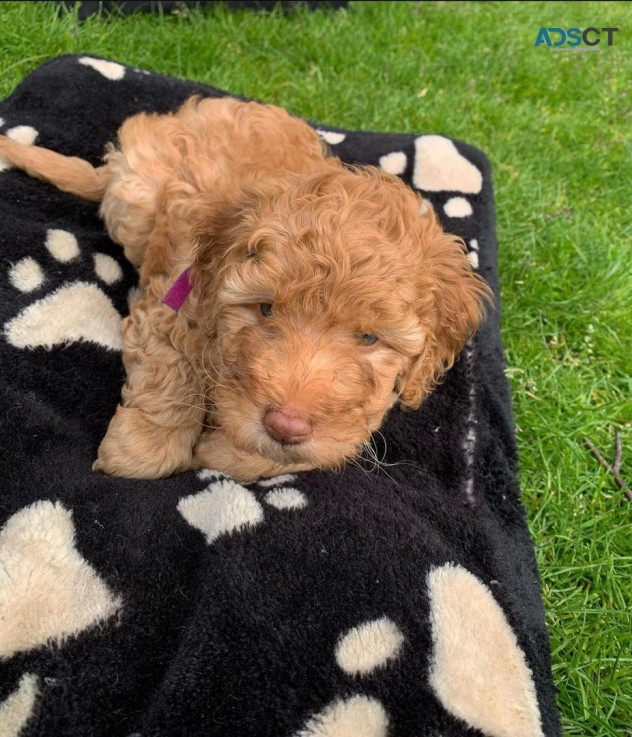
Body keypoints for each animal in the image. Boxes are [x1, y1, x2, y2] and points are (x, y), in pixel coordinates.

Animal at [0, 95, 492, 480]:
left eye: (369, 338)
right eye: (265, 309)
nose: (286, 424)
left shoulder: (359, 420)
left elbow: (307, 452)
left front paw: (225, 452)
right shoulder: (172, 306)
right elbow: (170, 376)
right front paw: (143, 448)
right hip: (135, 199)